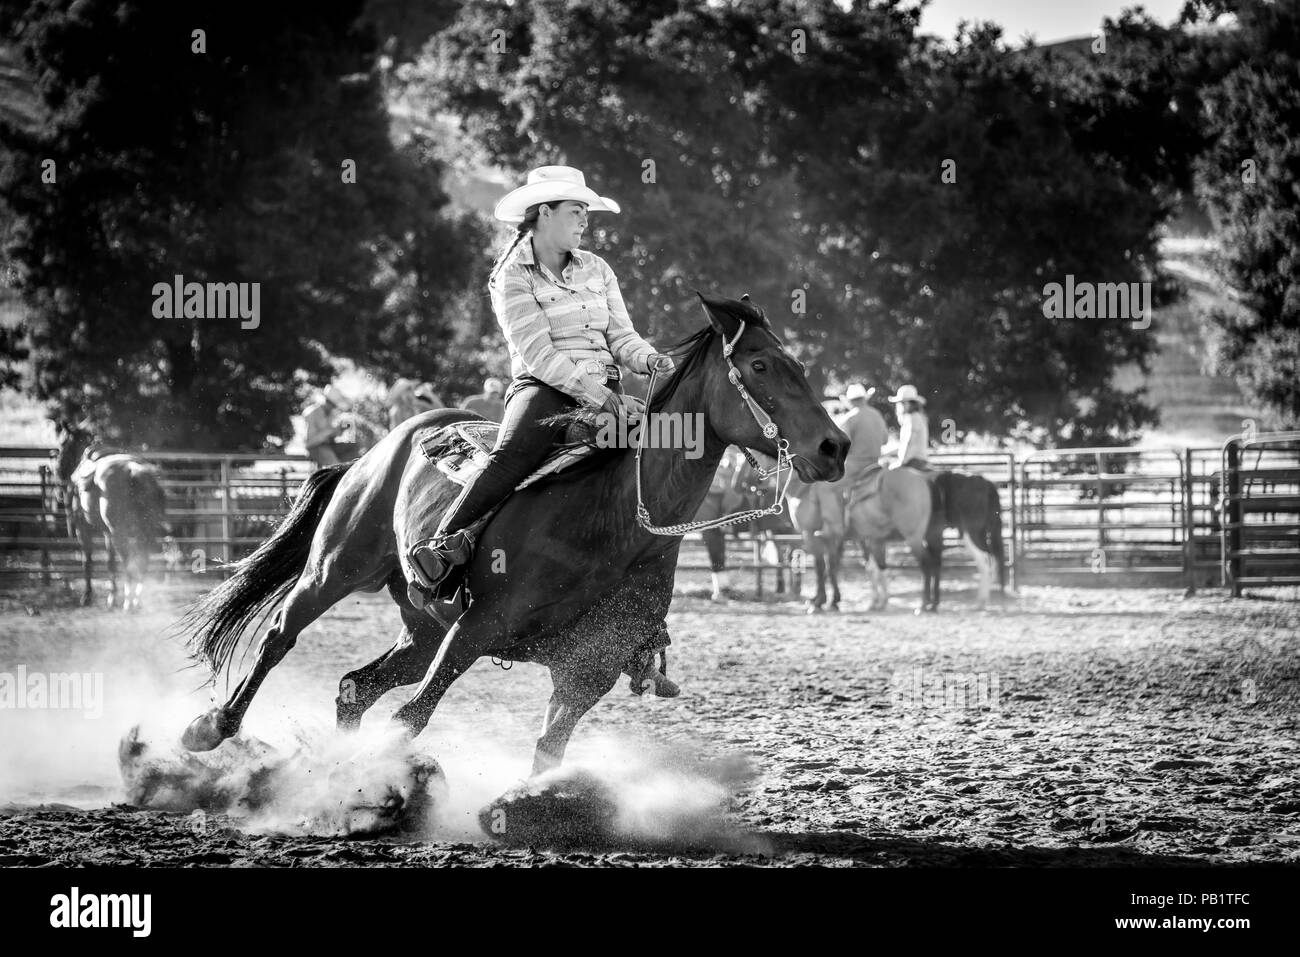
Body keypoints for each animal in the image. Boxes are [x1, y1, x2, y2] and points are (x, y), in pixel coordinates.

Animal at [56, 421, 169, 608]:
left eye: (62, 445)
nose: (57, 469)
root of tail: (134, 472)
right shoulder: (107, 532)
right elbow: (110, 562)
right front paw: (112, 595)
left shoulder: (83, 528)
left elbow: (87, 560)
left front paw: (87, 596)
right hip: (146, 530)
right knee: (142, 559)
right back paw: (136, 599)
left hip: (120, 532)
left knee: (128, 561)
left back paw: (129, 601)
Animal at [178, 293, 847, 780]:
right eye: (759, 366)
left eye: (801, 367)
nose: (834, 447)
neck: (614, 521)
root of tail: (381, 446)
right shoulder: (480, 625)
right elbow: (411, 719)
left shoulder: (589, 667)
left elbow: (549, 748)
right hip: (338, 569)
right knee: (279, 637)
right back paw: (209, 728)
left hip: (423, 627)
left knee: (352, 688)